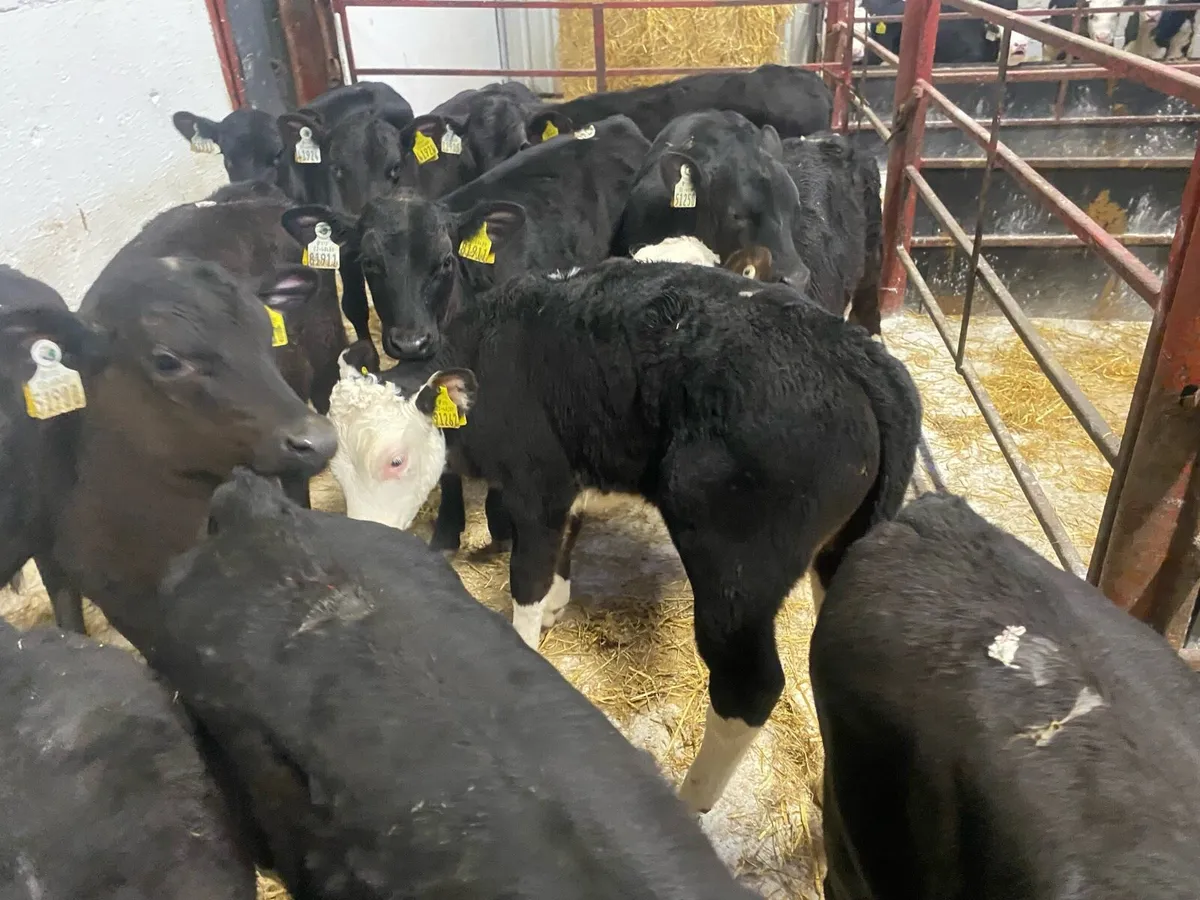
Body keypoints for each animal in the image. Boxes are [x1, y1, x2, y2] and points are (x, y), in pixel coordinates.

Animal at [401, 259, 921, 815]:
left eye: (397, 457)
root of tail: (854, 352)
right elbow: (566, 540)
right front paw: (558, 603)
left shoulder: (537, 485)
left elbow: (529, 576)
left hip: (736, 569)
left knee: (749, 686)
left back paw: (691, 801)